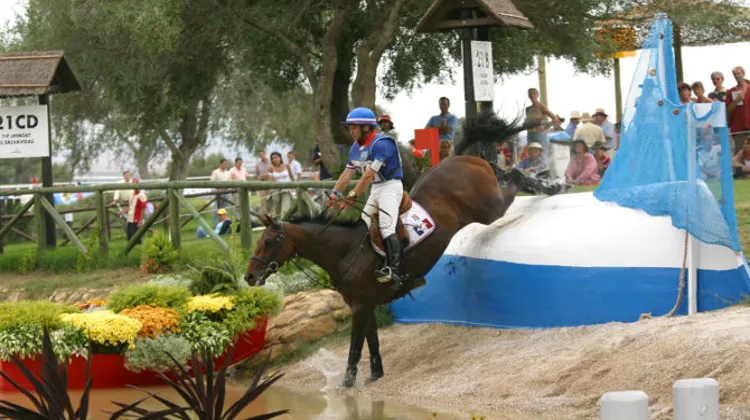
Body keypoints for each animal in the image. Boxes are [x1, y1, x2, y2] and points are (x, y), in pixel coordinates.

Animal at [245, 112, 560, 388]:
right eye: (258, 242)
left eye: (269, 242)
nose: (249, 276)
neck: (345, 253)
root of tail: (457, 158)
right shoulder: (366, 304)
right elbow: (372, 342)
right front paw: (375, 375)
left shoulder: (360, 306)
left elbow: (355, 347)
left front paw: (347, 385)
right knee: (505, 172)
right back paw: (547, 182)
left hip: (489, 208)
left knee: (514, 176)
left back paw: (550, 184)